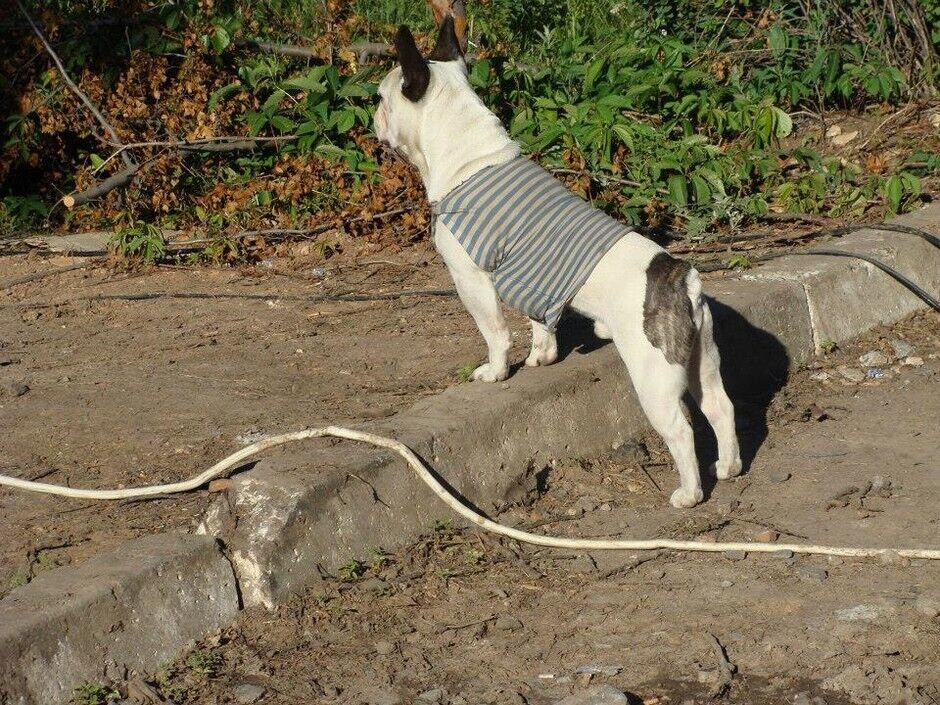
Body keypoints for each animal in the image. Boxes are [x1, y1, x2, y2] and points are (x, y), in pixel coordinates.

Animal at [374, 19, 742, 508]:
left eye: (381, 98)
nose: (372, 115)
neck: (468, 157)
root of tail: (681, 279)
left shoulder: (471, 278)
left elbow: (494, 331)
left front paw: (496, 371)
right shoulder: (532, 279)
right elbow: (539, 323)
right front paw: (541, 357)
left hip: (654, 374)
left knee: (681, 428)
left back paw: (689, 492)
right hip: (702, 356)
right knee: (721, 405)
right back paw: (729, 466)